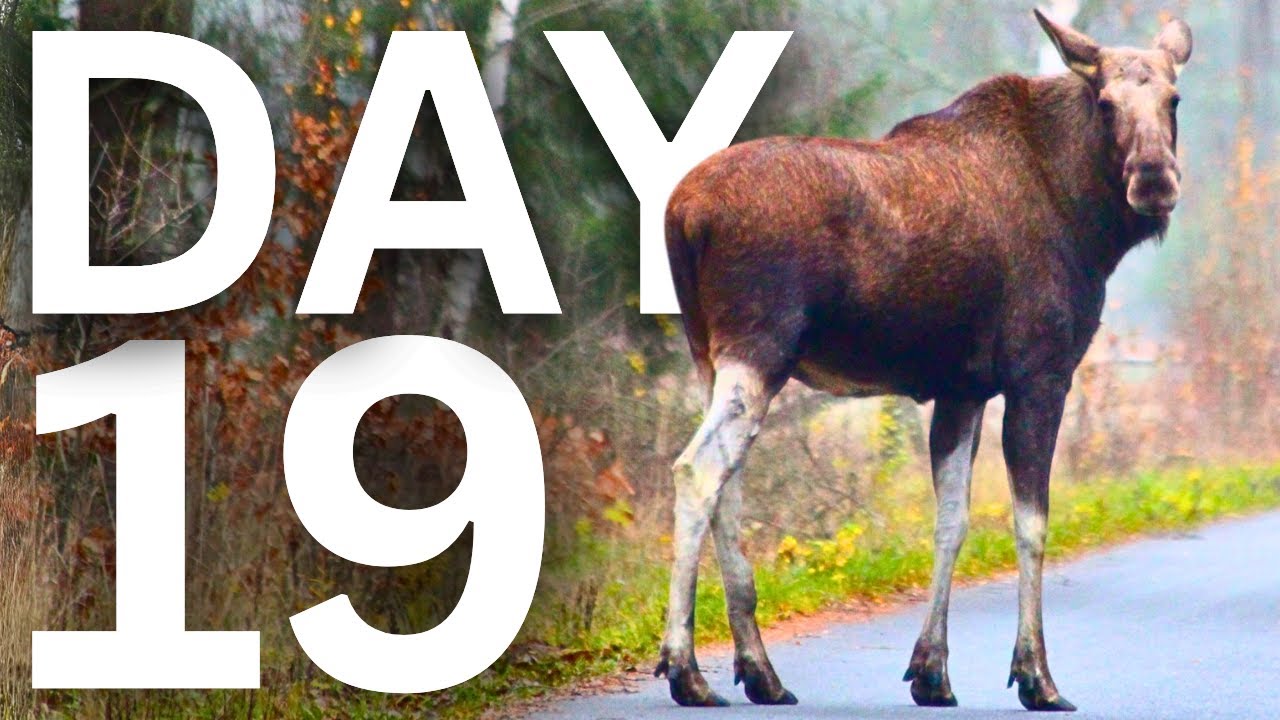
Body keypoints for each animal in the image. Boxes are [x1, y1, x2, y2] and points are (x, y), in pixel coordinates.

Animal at [655, 9, 1191, 712]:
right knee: (696, 471)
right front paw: (1036, 677)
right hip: (759, 346)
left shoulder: (962, 388)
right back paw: (686, 670)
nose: (1154, 177)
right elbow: (1030, 523)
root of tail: (683, 215)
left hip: (708, 356)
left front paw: (931, 671)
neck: (1087, 221)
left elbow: (951, 522)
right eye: (1105, 102)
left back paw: (760, 672)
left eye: (1174, 99)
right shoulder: (1040, 373)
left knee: (727, 486)